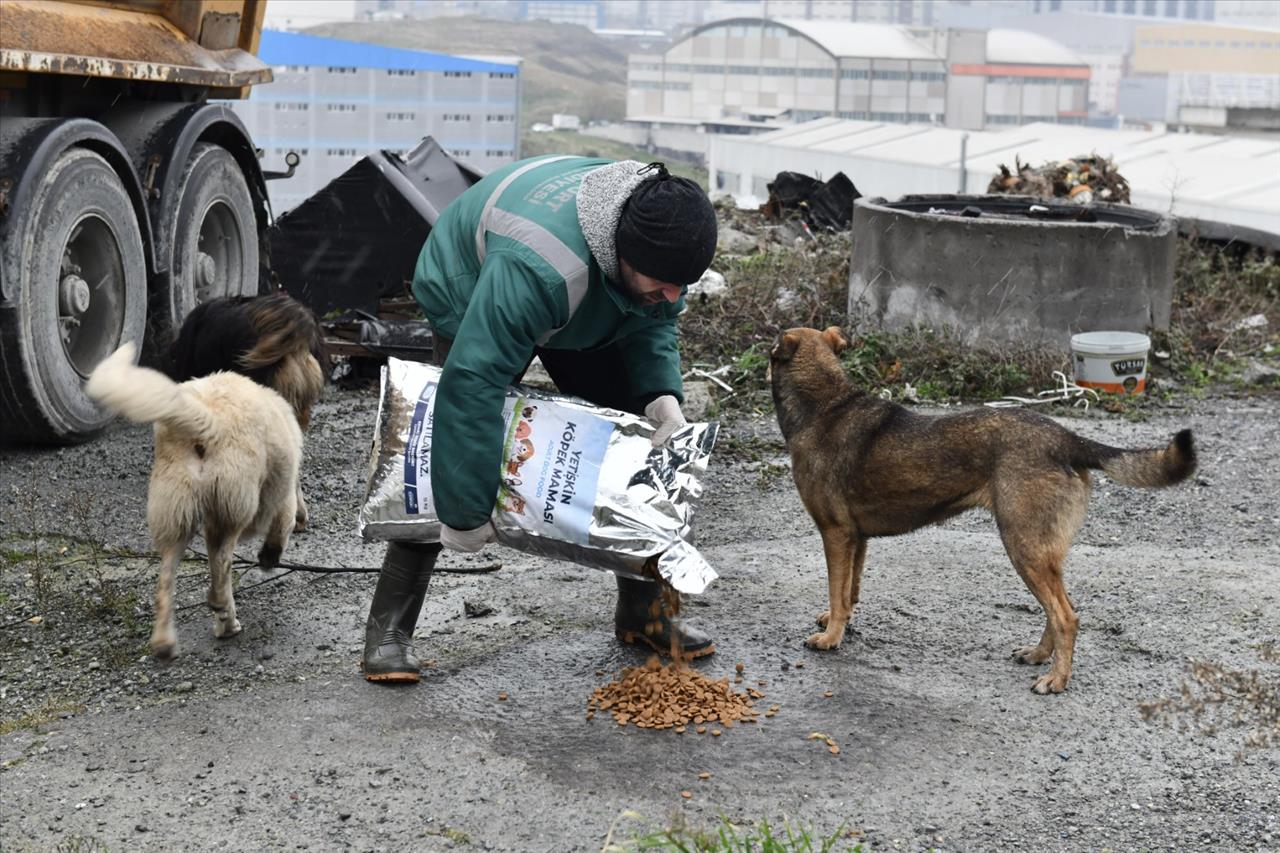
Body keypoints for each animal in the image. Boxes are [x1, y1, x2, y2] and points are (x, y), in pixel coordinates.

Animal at [87, 340, 302, 655]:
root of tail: (208, 422)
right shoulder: (281, 498)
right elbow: (282, 527)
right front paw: (268, 557)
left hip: (175, 516)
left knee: (166, 581)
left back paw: (167, 642)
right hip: (234, 508)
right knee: (223, 564)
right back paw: (220, 608)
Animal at [768, 325, 1198, 691]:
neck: (827, 404)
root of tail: (1068, 439)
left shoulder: (836, 534)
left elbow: (836, 590)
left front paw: (830, 637)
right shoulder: (857, 538)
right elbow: (849, 592)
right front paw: (837, 622)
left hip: (1022, 546)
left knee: (1066, 616)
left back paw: (1056, 679)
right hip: (1042, 552)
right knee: (1061, 610)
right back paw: (1039, 655)